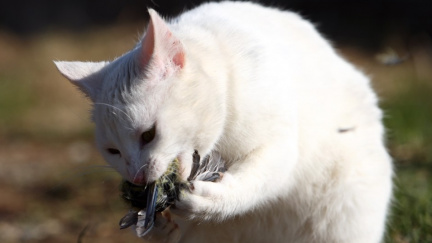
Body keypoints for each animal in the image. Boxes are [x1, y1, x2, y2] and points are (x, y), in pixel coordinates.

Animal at [54, 1, 392, 241]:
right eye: (113, 152)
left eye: (148, 135)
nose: (137, 179)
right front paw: (156, 222)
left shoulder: (280, 147)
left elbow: (252, 184)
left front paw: (207, 200)